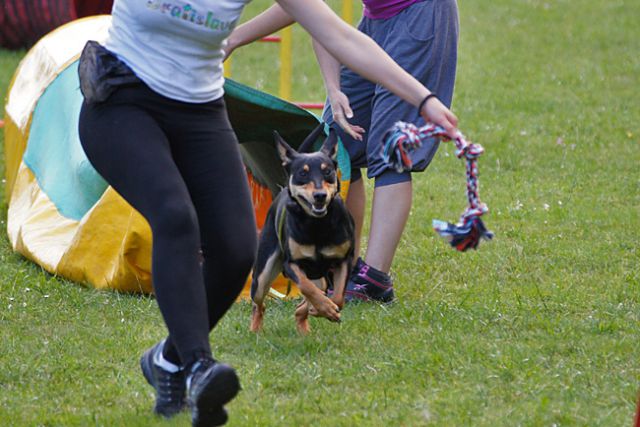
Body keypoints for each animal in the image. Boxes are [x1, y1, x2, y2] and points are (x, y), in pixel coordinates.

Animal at [250, 129, 356, 336]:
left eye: (327, 171)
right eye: (302, 173)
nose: (320, 196)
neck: (317, 224)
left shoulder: (343, 260)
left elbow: (338, 297)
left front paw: (327, 309)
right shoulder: (291, 264)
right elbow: (306, 287)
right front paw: (325, 308)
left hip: (319, 277)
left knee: (308, 301)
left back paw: (306, 324)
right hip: (263, 274)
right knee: (259, 304)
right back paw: (255, 330)